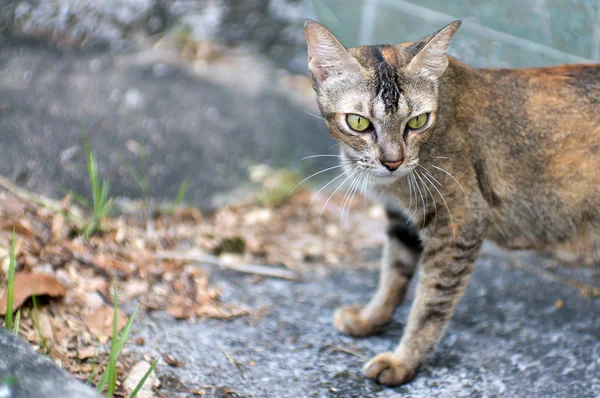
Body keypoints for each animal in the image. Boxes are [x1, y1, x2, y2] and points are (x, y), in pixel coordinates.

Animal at [302, 18, 600, 386]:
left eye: (417, 121)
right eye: (358, 122)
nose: (392, 161)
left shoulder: (459, 223)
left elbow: (430, 305)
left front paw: (403, 361)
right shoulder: (401, 221)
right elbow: (392, 275)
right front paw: (372, 319)